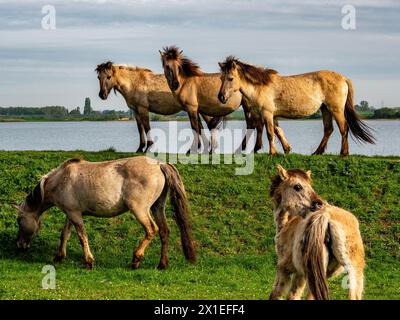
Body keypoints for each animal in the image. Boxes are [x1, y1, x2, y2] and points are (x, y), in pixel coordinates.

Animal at [14, 156, 197, 268]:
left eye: (19, 221)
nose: (19, 245)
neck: (61, 179)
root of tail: (159, 164)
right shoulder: (71, 213)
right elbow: (65, 234)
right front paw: (59, 256)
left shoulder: (74, 215)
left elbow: (82, 237)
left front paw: (89, 261)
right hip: (157, 207)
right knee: (164, 231)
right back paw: (162, 264)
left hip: (140, 210)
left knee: (152, 230)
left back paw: (136, 259)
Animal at [158, 46, 290, 154]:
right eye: (167, 66)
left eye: (178, 66)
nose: (176, 84)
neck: (187, 82)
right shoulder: (196, 109)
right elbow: (201, 127)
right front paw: (207, 148)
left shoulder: (191, 108)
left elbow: (195, 128)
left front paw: (194, 149)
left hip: (248, 106)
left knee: (253, 124)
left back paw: (243, 149)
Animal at [217, 56, 374, 156]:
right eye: (221, 78)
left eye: (230, 78)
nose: (221, 97)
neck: (260, 86)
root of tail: (344, 78)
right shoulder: (273, 115)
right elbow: (278, 131)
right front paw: (286, 149)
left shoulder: (267, 113)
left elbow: (270, 133)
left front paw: (272, 153)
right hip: (325, 109)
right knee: (328, 129)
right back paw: (317, 152)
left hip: (336, 109)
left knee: (343, 128)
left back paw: (343, 153)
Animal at [268, 165, 366, 300]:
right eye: (298, 186)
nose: (319, 203)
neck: (289, 223)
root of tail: (325, 216)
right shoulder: (300, 275)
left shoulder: (285, 270)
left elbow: (278, 294)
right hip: (353, 270)